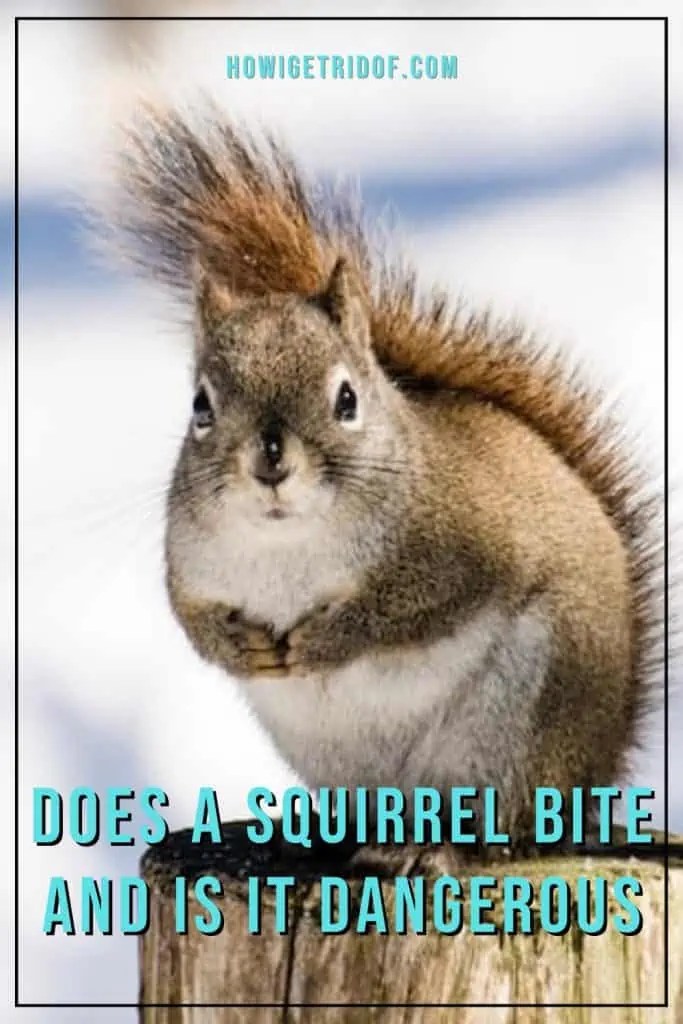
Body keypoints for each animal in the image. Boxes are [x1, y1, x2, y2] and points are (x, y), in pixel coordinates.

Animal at [101, 104, 662, 865]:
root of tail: (591, 781)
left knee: (503, 825)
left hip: (524, 724)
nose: (270, 460)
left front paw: (326, 640)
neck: (287, 546)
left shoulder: (463, 548)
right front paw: (237, 645)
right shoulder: (188, 563)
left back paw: (442, 848)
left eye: (346, 399)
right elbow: (188, 617)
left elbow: (414, 607)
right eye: (200, 405)